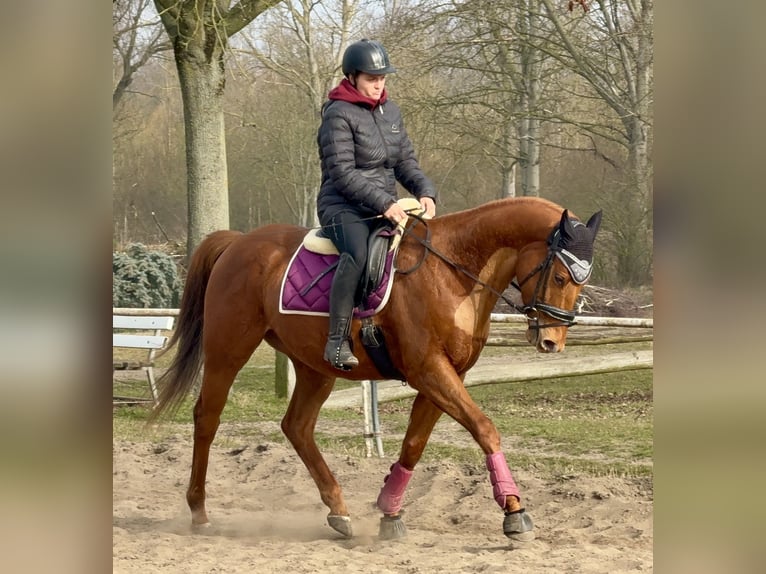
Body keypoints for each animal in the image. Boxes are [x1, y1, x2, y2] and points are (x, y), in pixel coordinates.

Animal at [150, 196, 602, 542]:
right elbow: (484, 428)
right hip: (228, 350)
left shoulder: (444, 376)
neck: (453, 273)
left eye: (581, 280)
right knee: (207, 417)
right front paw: (513, 509)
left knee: (297, 427)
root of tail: (238, 242)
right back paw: (199, 510)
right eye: (560, 276)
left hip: (315, 367)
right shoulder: (430, 370)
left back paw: (338, 510)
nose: (552, 341)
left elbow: (414, 444)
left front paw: (389, 511)